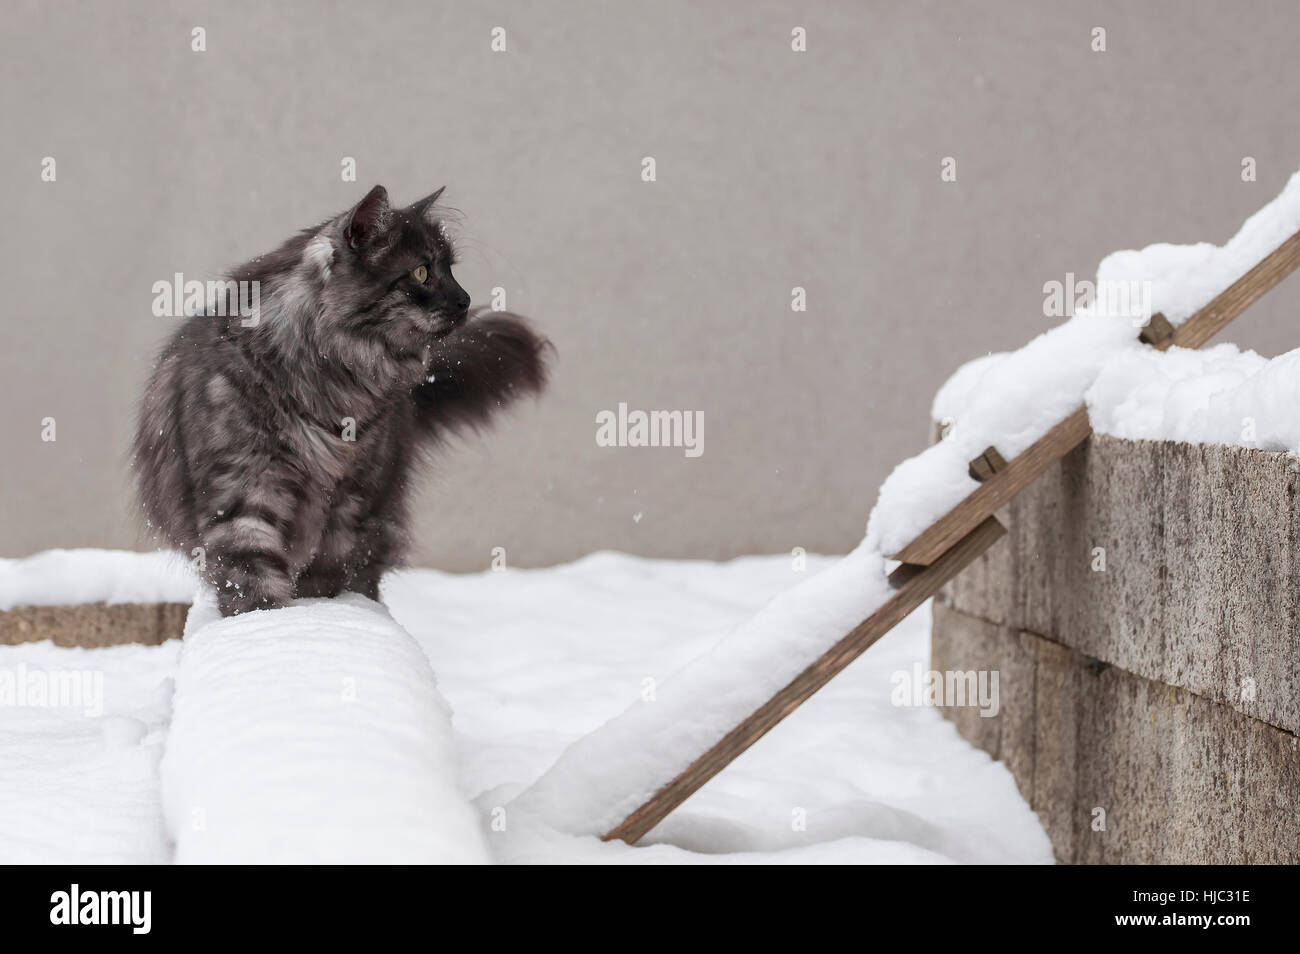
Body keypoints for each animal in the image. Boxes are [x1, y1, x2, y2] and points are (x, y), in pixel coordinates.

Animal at [135, 187, 548, 621]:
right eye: (422, 272)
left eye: (451, 270)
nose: (464, 300)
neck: (334, 381)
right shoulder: (242, 494)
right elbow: (253, 581)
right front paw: (266, 621)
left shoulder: (353, 499)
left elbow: (332, 572)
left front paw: (327, 611)